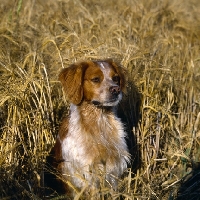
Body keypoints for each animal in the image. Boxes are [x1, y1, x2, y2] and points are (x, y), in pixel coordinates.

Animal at [49, 59, 130, 197]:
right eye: (96, 79)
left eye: (115, 78)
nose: (116, 89)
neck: (99, 121)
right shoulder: (85, 174)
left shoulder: (114, 169)